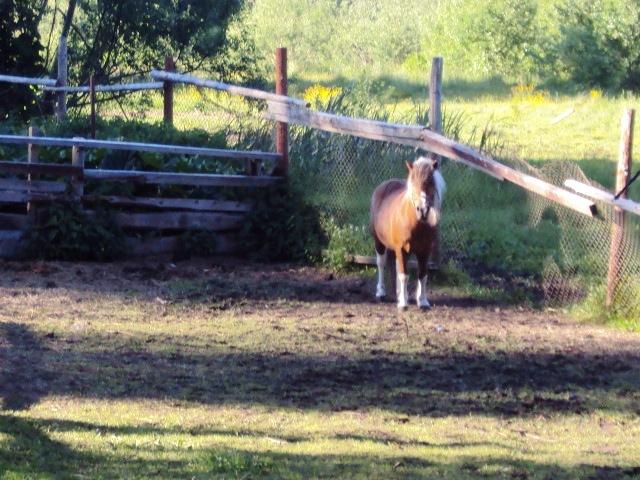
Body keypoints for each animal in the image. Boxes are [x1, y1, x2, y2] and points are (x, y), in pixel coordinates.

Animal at [370, 156, 444, 310]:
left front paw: (422, 301)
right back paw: (381, 292)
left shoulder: (425, 251)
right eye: (413, 183)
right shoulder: (402, 248)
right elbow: (404, 275)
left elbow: (422, 275)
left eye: (430, 182)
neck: (417, 224)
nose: (422, 210)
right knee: (381, 264)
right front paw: (403, 303)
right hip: (379, 243)